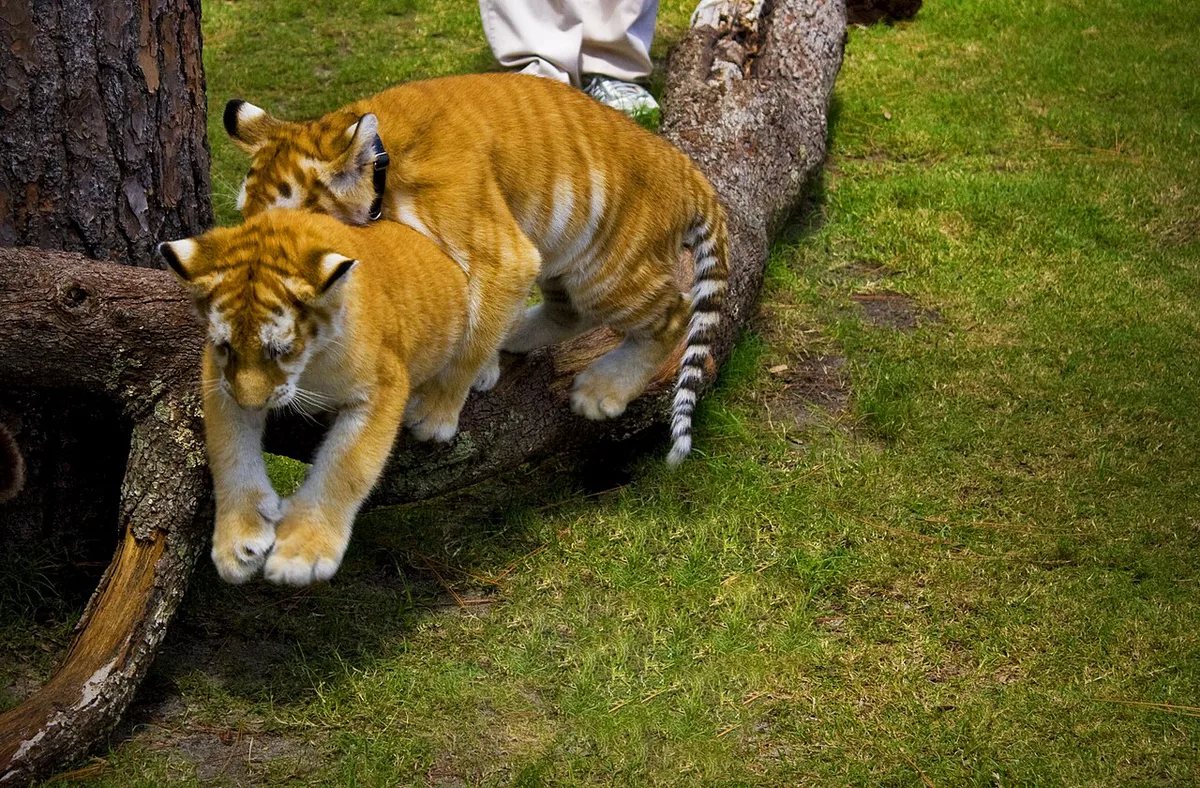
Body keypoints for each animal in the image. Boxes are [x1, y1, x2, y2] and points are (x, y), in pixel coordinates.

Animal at [160, 208, 478, 585]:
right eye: (227, 348)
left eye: (280, 350)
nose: (251, 404)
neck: (308, 366)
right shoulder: (220, 380)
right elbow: (229, 450)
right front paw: (238, 542)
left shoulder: (382, 385)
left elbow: (346, 466)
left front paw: (301, 553)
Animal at [223, 72, 728, 465]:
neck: (383, 176)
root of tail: (690, 172)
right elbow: (474, 318)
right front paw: (486, 367)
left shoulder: (504, 256)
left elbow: (468, 337)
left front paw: (435, 415)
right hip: (562, 253)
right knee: (568, 312)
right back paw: (517, 335)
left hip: (606, 272)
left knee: (675, 313)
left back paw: (602, 391)